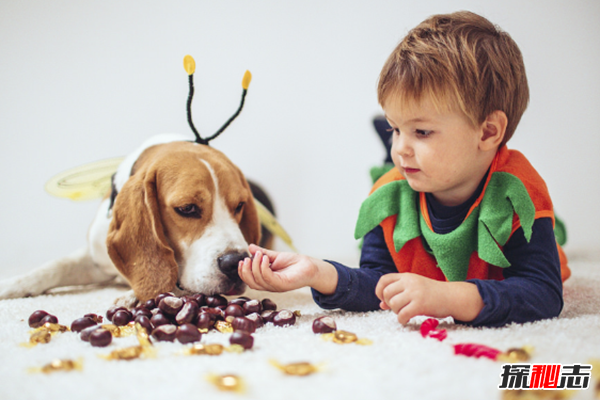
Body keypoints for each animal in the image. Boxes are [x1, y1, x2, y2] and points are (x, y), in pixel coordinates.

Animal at [0, 134, 270, 306]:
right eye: (187, 208)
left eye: (239, 205)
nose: (235, 262)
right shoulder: (95, 259)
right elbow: (54, 266)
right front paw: (12, 284)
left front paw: (133, 295)